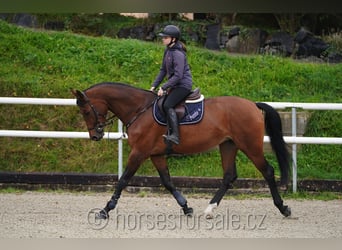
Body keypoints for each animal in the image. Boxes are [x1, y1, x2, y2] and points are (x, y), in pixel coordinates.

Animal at [72, 81, 292, 219]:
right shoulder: (156, 154)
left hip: (250, 146)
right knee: (229, 176)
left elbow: (123, 180)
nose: (95, 136)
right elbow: (167, 182)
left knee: (267, 171)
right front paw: (186, 207)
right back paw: (209, 209)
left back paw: (283, 208)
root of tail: (253, 105)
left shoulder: (139, 153)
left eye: (86, 111)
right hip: (228, 145)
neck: (139, 109)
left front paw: (105, 210)